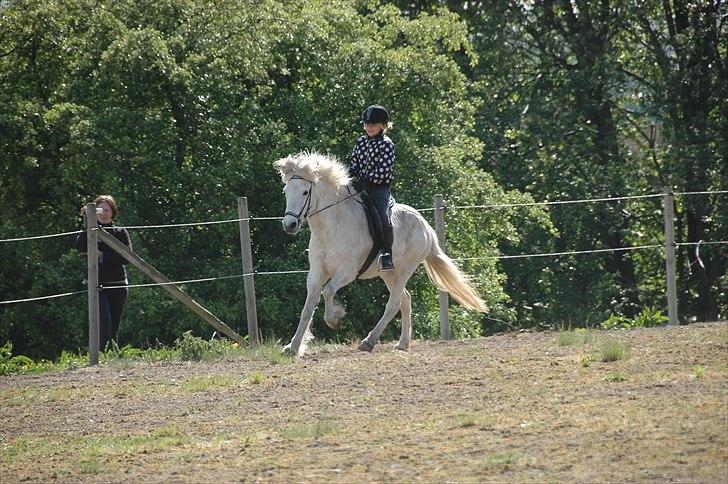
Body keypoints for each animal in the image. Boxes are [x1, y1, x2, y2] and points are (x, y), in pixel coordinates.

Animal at [276, 151, 486, 356]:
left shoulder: (347, 271)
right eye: (285, 192)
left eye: (305, 192)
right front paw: (293, 347)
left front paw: (335, 319)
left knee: (394, 303)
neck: (332, 226)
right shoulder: (317, 272)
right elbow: (308, 308)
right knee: (405, 299)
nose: (289, 225)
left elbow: (327, 291)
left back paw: (369, 341)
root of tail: (425, 225)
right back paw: (402, 343)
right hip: (388, 273)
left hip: (404, 270)